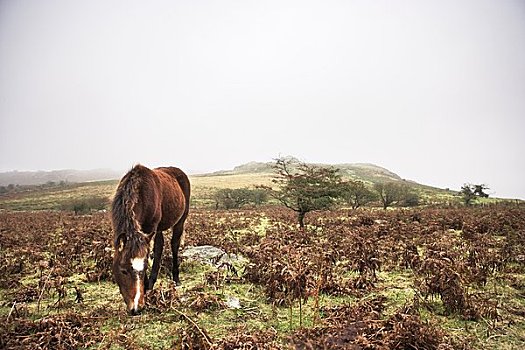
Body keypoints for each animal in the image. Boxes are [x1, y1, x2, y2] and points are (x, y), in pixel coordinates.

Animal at [110, 164, 190, 314]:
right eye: (123, 270)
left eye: (144, 268)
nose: (136, 308)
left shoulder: (151, 227)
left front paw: (147, 286)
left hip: (180, 221)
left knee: (173, 245)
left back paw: (175, 278)